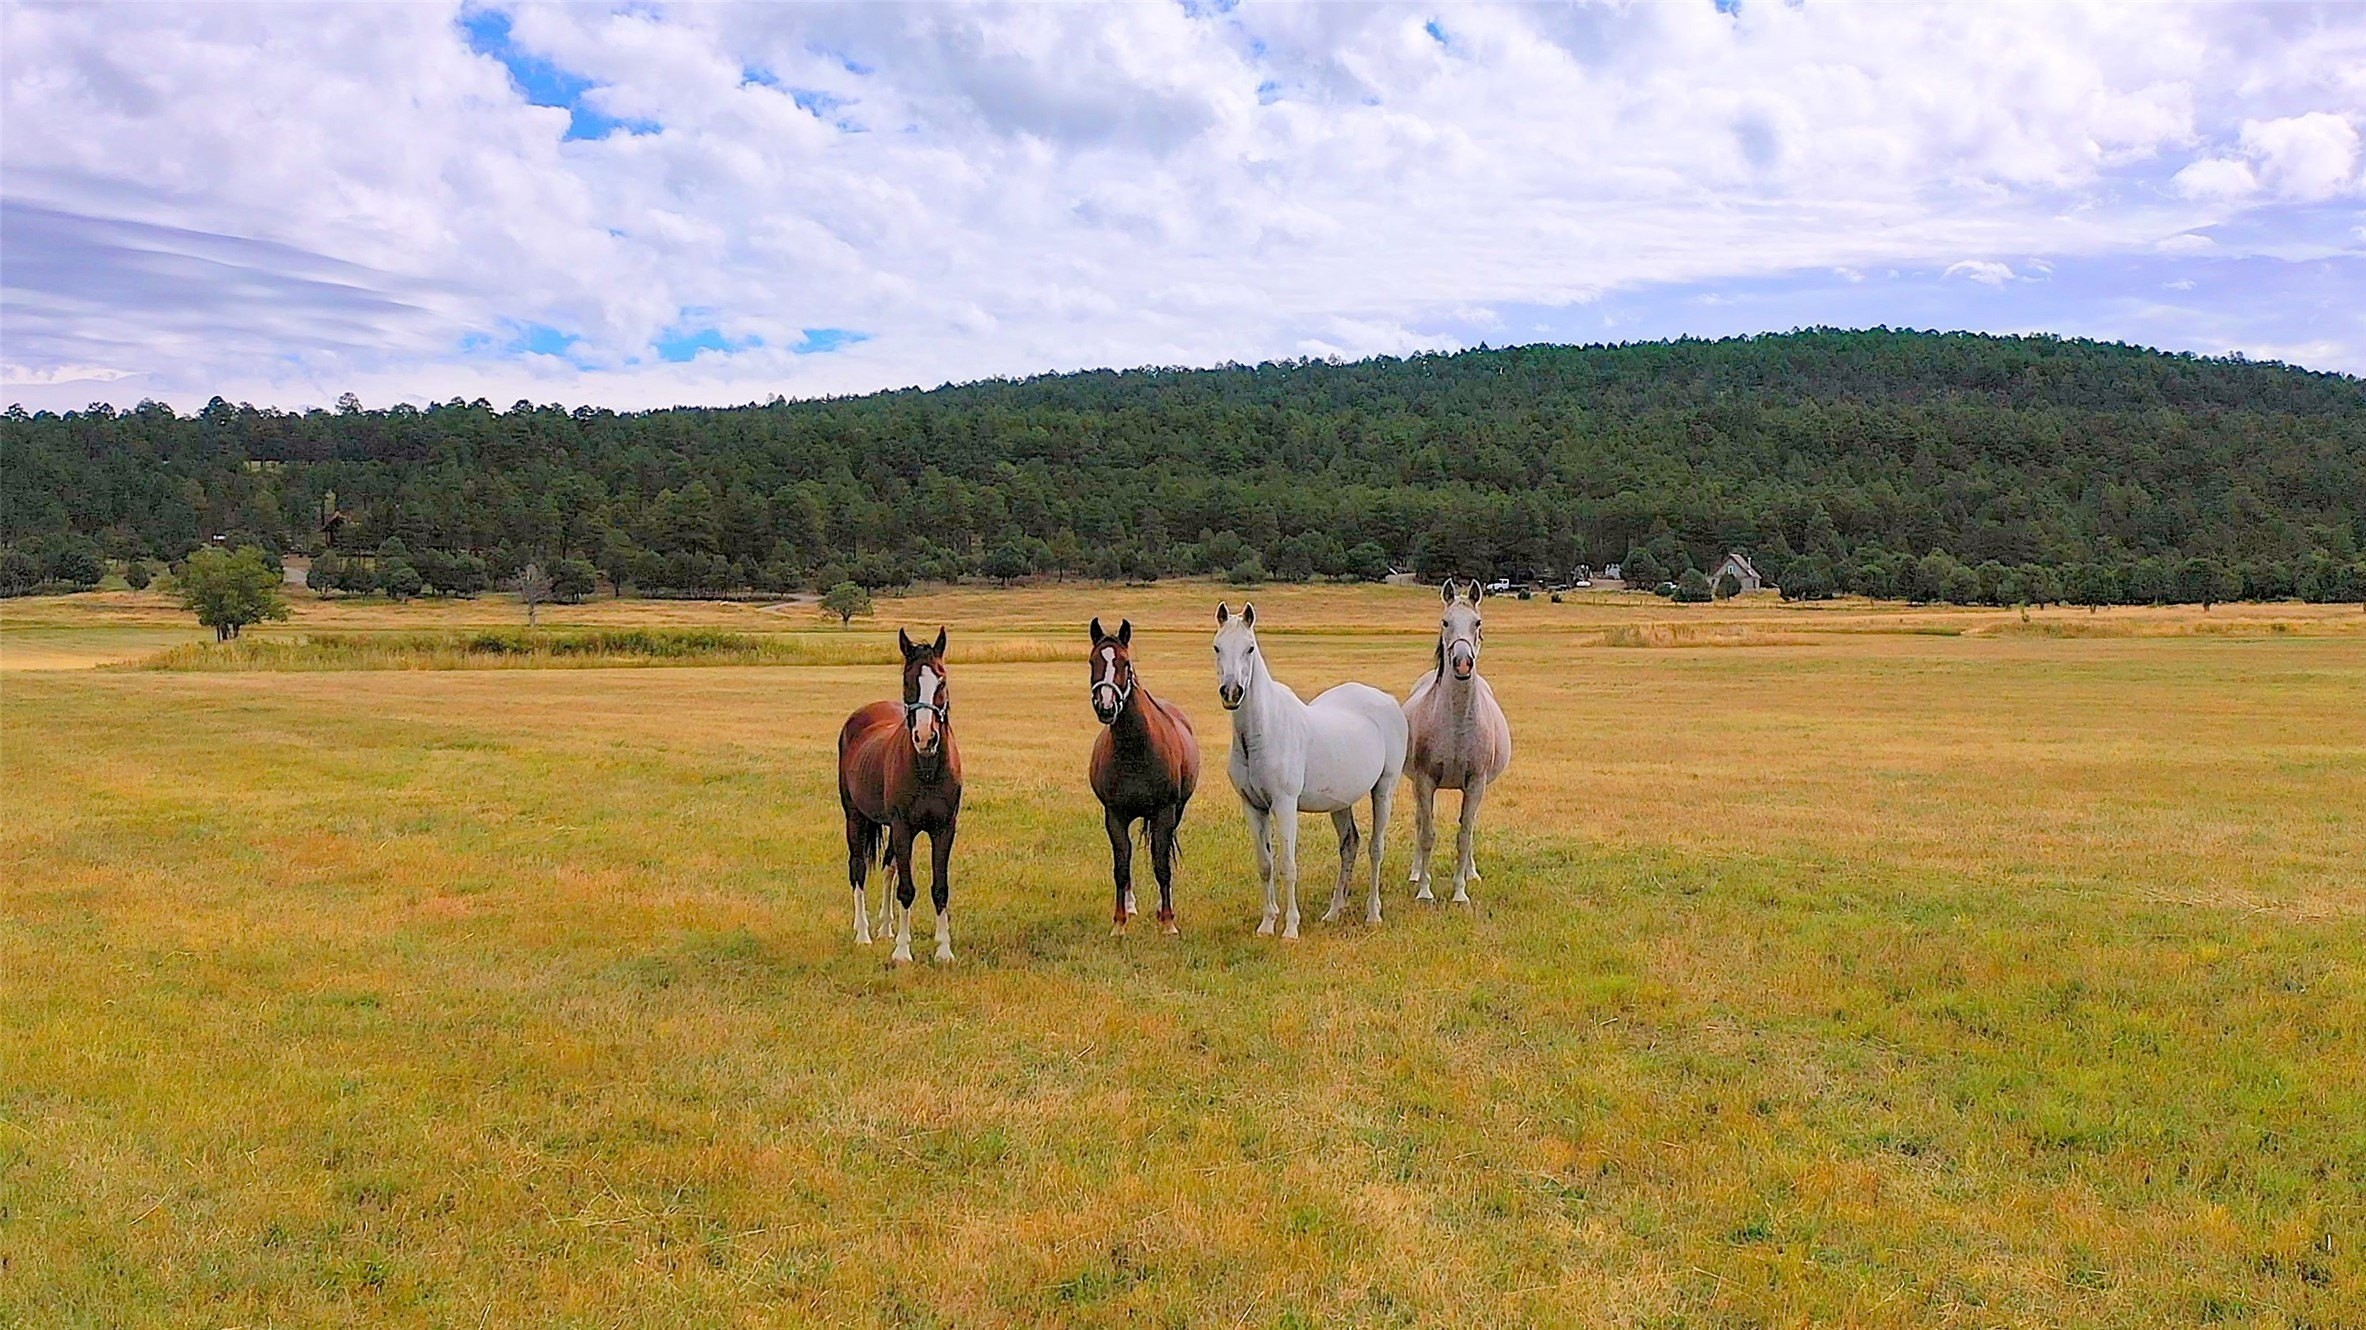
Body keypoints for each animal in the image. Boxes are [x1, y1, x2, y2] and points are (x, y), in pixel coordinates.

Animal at [842, 624, 960, 956]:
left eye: (941, 679)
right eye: (908, 680)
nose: (926, 737)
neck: (927, 770)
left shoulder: (944, 828)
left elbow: (940, 888)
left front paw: (944, 950)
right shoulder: (904, 827)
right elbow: (907, 890)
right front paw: (903, 952)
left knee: (888, 866)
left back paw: (885, 929)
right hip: (854, 817)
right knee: (858, 868)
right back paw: (863, 933)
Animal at [1088, 620, 1201, 932]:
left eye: (1125, 662)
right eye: (1092, 661)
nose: (1106, 707)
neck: (1136, 749)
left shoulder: (1164, 812)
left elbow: (1161, 865)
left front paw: (1168, 922)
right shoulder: (1114, 815)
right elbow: (1121, 866)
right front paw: (1119, 922)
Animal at [1220, 601, 1400, 932]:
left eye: (1249, 648)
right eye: (1217, 647)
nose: (1231, 692)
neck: (1262, 731)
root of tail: (1388, 700)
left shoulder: (1285, 804)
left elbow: (1288, 866)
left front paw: (1291, 928)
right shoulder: (1253, 806)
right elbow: (1265, 865)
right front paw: (1267, 924)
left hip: (1384, 789)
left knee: (1376, 848)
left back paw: (1373, 914)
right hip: (1341, 803)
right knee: (1350, 845)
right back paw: (1334, 911)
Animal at [1400, 577, 1514, 899]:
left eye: (1478, 622)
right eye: (1445, 621)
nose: (1462, 663)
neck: (1456, 724)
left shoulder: (1475, 784)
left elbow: (1464, 834)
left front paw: (1460, 891)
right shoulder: (1425, 781)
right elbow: (1427, 833)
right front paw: (1424, 891)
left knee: (1470, 827)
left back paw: (1472, 873)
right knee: (1419, 822)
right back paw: (1415, 873)